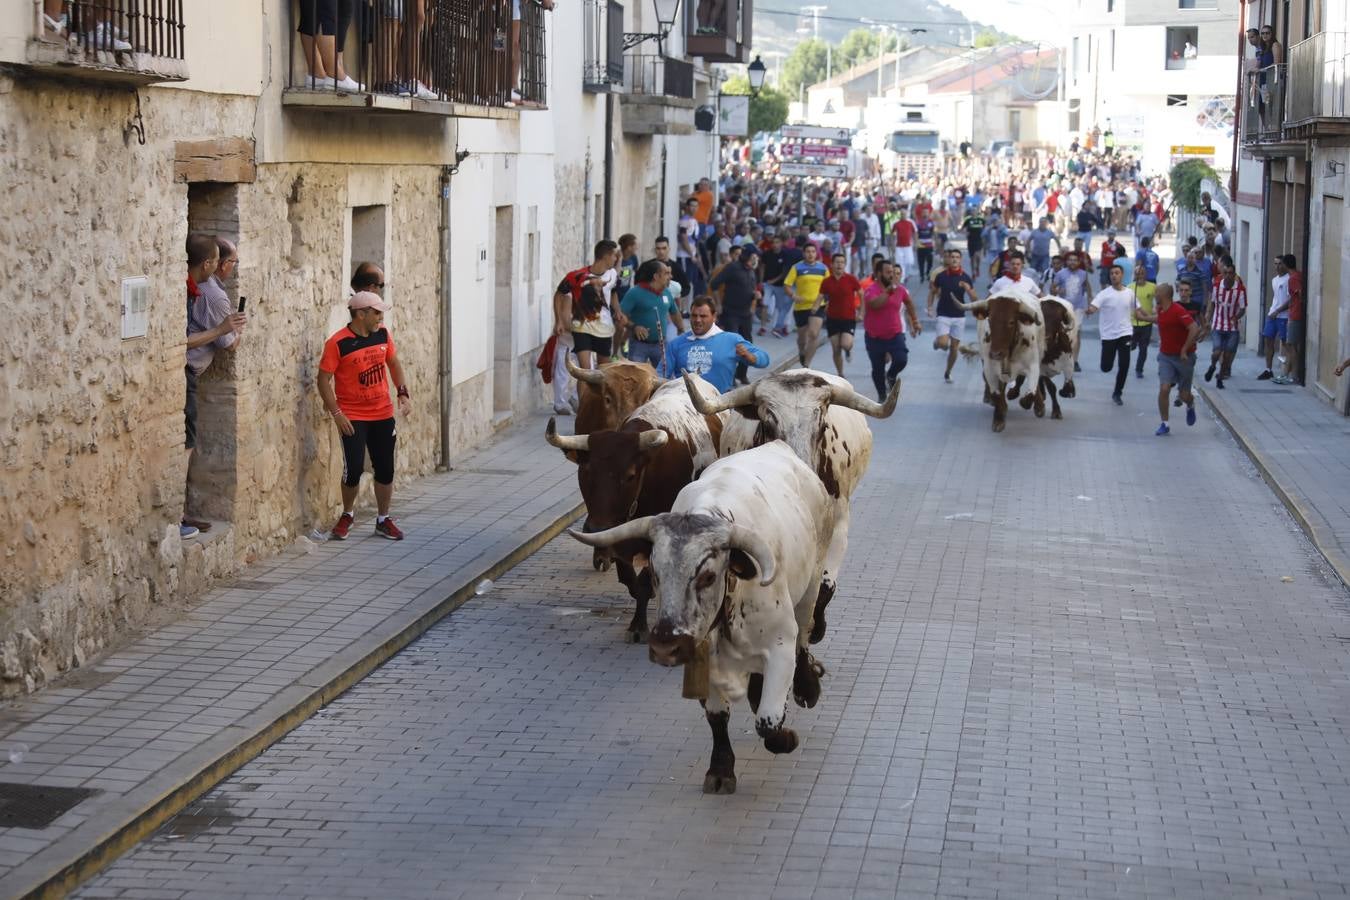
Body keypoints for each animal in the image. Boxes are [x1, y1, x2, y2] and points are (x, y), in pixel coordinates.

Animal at [542, 377, 723, 644]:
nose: (596, 528)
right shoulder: (616, 534)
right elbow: (629, 578)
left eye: (629, 475)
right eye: (585, 471)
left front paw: (639, 626)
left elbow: (646, 581)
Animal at [564, 442, 826, 793]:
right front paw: (721, 769)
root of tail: (779, 446)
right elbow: (717, 716)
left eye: (707, 576)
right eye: (655, 573)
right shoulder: (701, 657)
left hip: (811, 585)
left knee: (806, 635)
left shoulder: (780, 644)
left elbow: (768, 722)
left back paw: (807, 688)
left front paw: (785, 737)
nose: (665, 646)